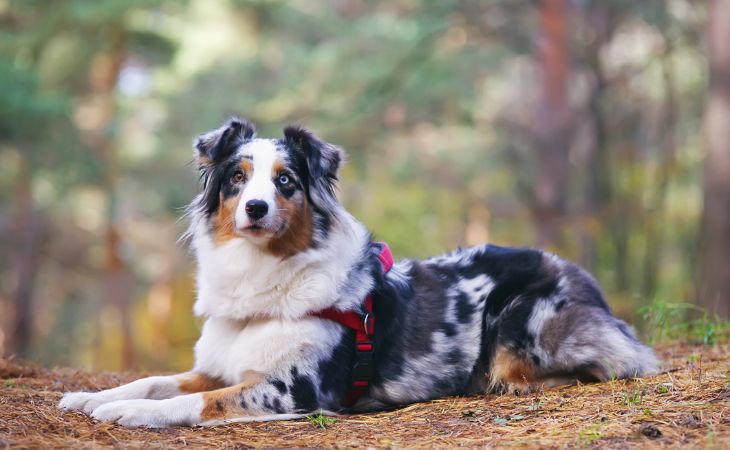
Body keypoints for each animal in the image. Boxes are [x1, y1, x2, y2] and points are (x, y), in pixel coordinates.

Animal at [58, 116, 656, 426]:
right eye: (236, 178)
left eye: (285, 181)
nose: (256, 208)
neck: (263, 278)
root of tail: (582, 277)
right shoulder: (221, 366)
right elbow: (156, 379)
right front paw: (92, 397)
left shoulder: (292, 390)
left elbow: (195, 401)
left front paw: (131, 412)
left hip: (520, 319)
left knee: (609, 364)